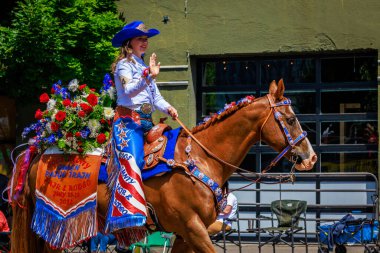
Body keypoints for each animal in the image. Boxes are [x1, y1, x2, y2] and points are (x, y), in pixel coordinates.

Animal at [9, 78, 318, 251]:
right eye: (291, 119)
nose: (311, 157)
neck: (200, 158)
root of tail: (39, 152)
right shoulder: (193, 228)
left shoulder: (186, 233)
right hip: (55, 224)